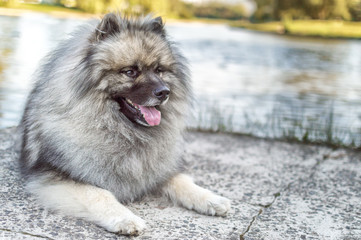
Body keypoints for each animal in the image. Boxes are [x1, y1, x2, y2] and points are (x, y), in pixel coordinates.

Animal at [16, 12, 229, 235]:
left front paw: (211, 199)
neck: (123, 130)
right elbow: (99, 193)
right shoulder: (56, 177)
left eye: (159, 70)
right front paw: (125, 218)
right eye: (130, 72)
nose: (164, 92)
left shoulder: (158, 170)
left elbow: (181, 179)